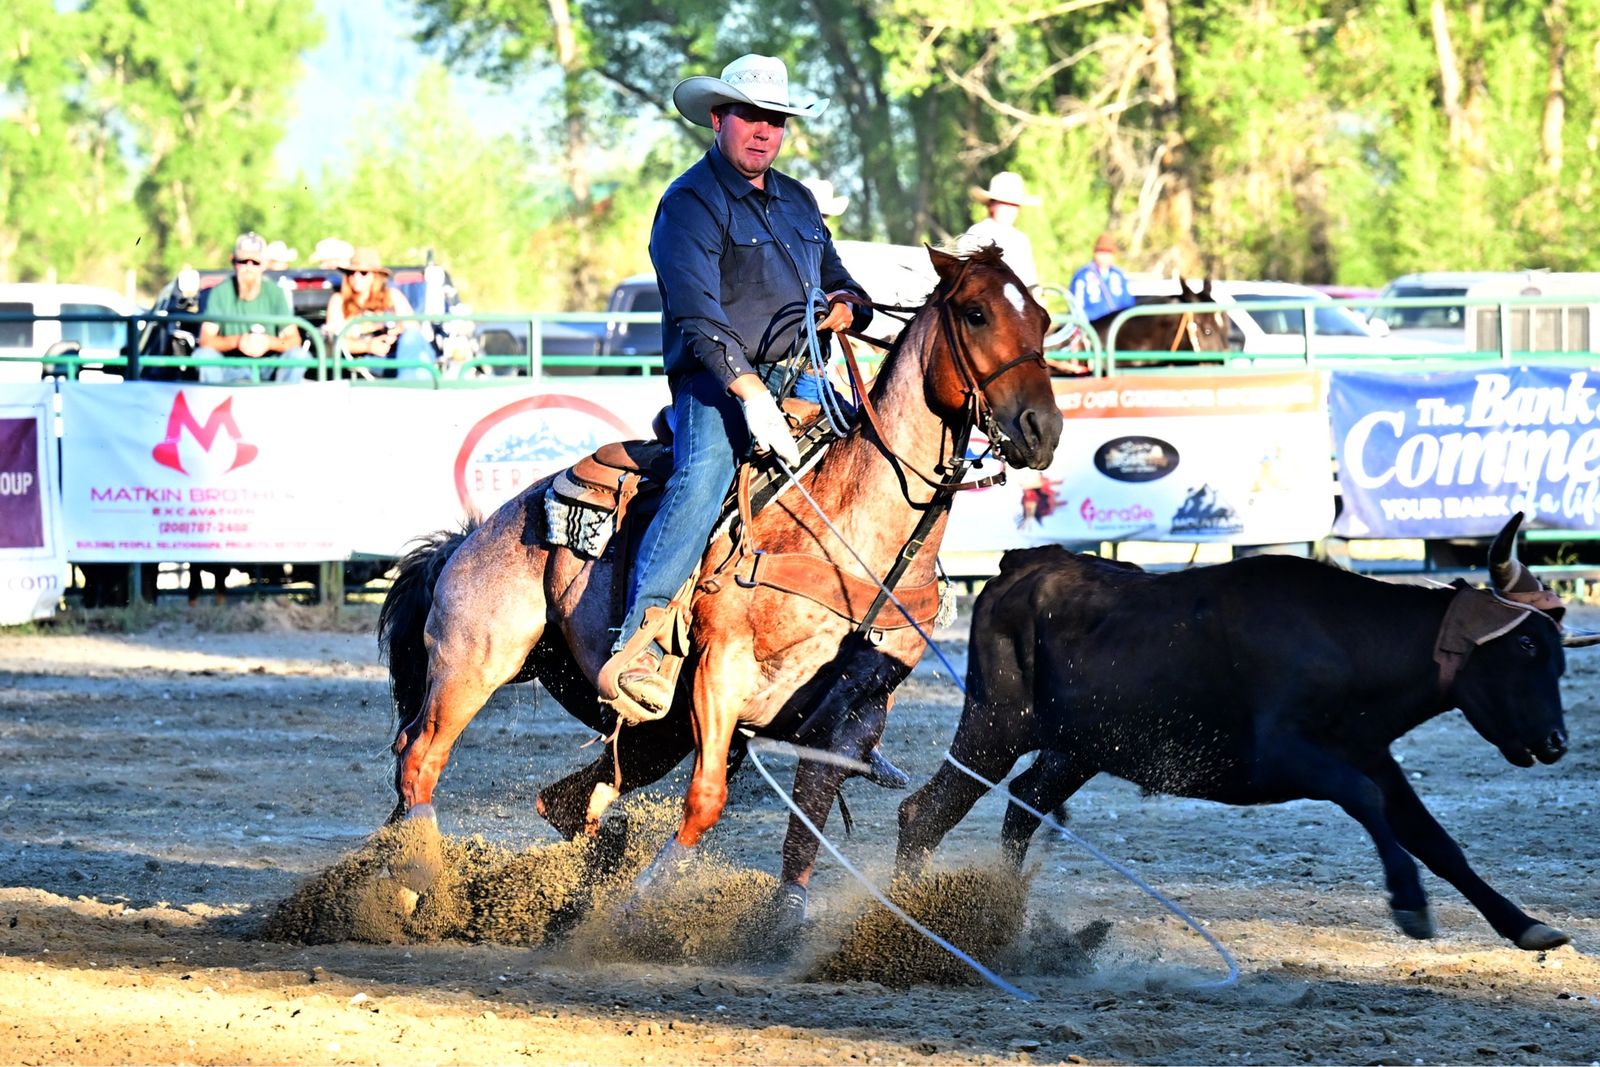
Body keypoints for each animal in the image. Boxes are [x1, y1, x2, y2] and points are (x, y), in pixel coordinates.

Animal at [377, 245, 1063, 923]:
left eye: (1044, 319)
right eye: (976, 313)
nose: (1043, 428)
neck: (852, 535)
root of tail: (471, 537)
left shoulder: (856, 711)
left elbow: (808, 818)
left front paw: (783, 919)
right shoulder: (722, 668)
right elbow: (707, 799)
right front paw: (646, 901)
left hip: (649, 725)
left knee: (563, 800)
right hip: (476, 663)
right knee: (421, 758)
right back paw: (418, 884)